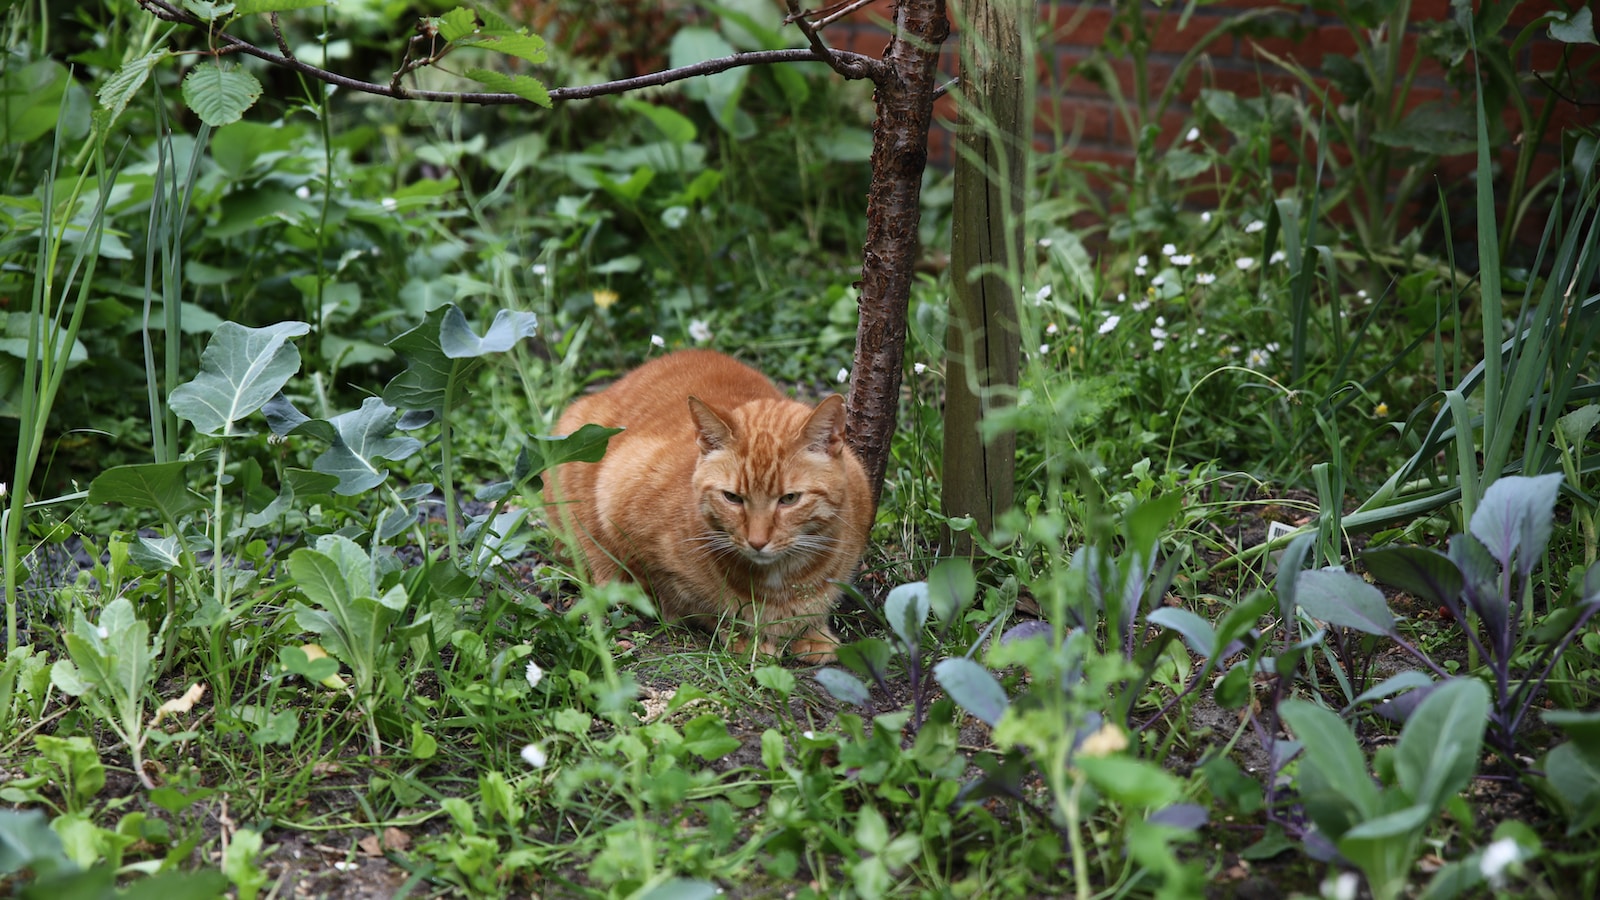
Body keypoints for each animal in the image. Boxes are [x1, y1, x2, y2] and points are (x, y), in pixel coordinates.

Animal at [550, 349, 876, 659]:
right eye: (732, 498)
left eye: (789, 499)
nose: (757, 542)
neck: (779, 581)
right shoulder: (618, 505)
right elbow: (691, 603)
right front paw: (747, 636)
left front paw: (810, 632)